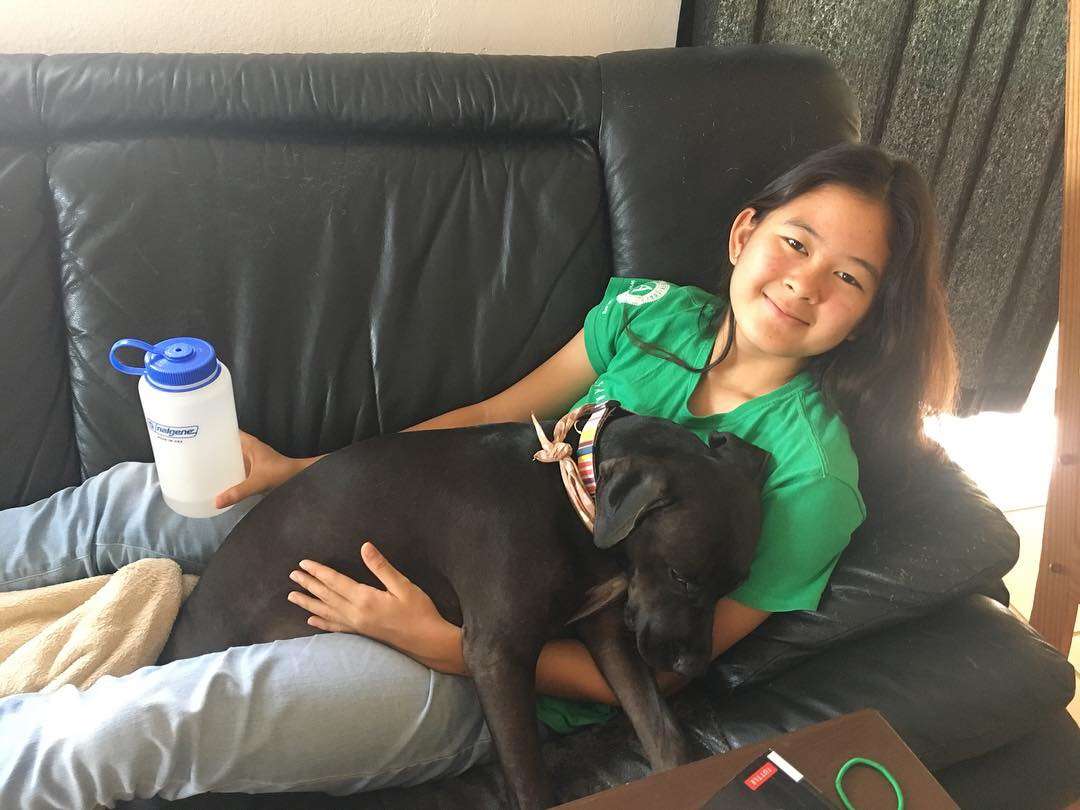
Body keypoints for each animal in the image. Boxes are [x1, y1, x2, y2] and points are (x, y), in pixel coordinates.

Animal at [159, 403, 769, 809]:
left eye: (732, 586)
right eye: (682, 576)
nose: (693, 667)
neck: (574, 494)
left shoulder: (608, 631)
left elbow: (660, 729)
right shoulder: (499, 653)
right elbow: (529, 780)